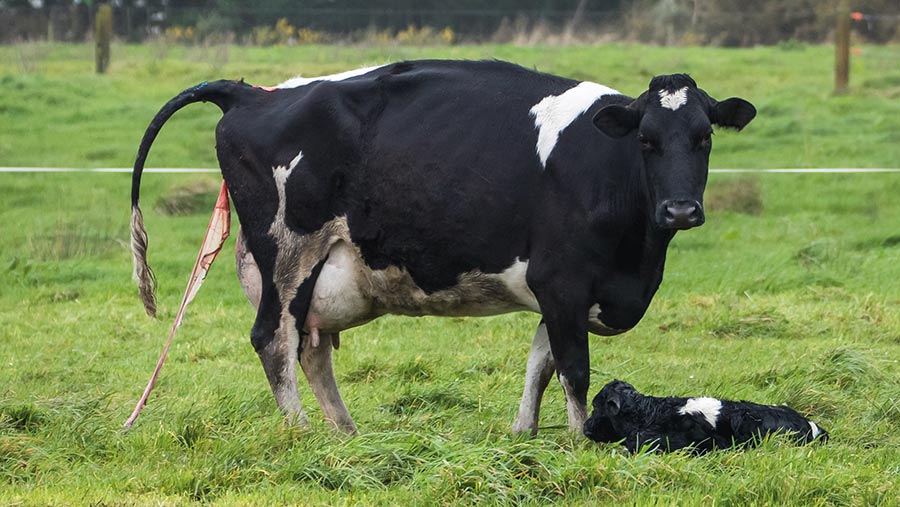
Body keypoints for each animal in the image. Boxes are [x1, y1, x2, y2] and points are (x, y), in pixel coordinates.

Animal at [130, 60, 756, 435]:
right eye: (646, 141)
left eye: (704, 138)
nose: (681, 210)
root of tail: (249, 93)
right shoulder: (562, 282)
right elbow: (574, 372)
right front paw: (582, 445)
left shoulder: (556, 295)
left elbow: (539, 365)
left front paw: (524, 437)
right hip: (287, 250)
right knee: (273, 339)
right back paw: (301, 433)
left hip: (316, 270)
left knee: (311, 348)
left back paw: (346, 437)